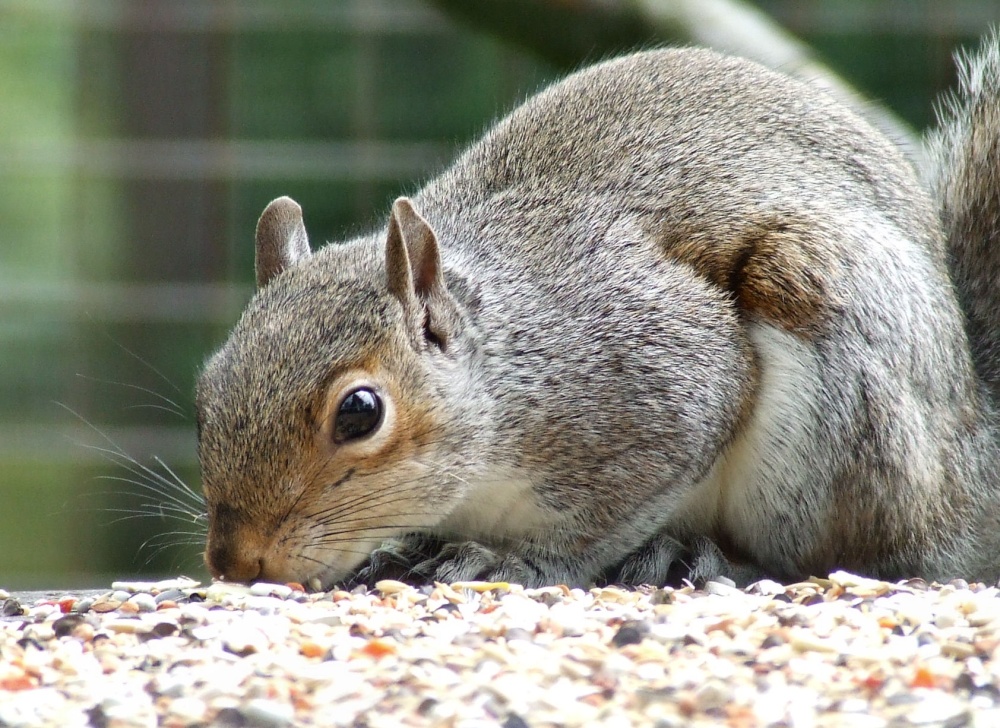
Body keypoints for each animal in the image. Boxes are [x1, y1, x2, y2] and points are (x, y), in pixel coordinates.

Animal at [199, 35, 1000, 592]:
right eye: (207, 392)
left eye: (360, 413)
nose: (235, 562)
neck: (509, 368)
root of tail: (971, 464)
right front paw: (404, 547)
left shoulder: (654, 378)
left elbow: (602, 521)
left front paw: (517, 561)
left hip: (831, 366)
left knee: (850, 556)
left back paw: (703, 555)